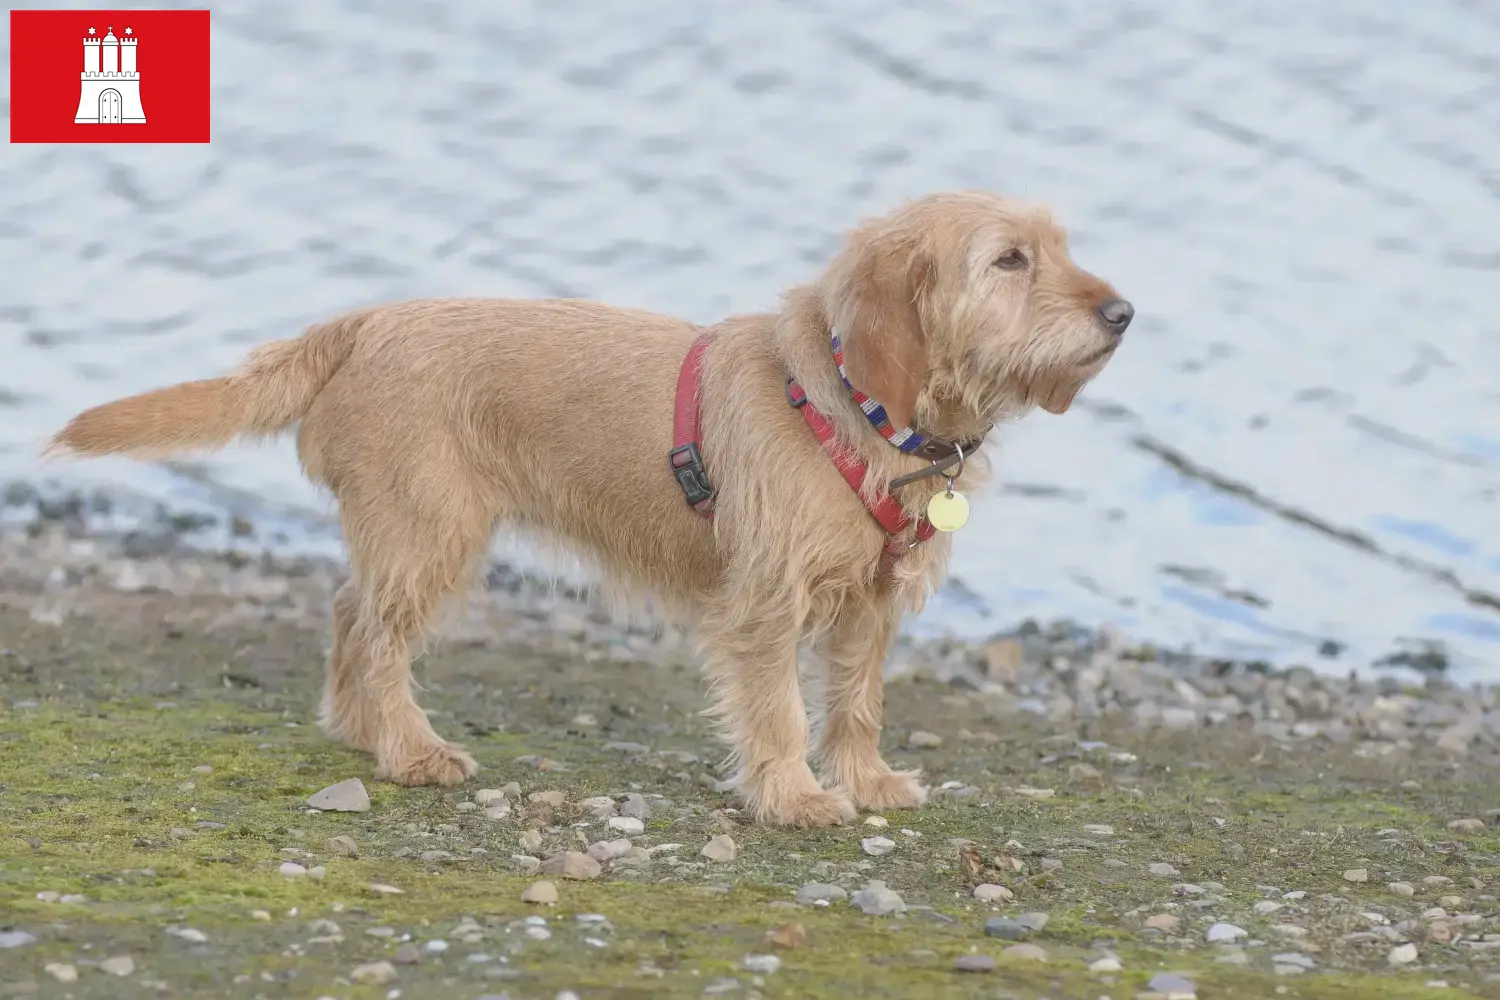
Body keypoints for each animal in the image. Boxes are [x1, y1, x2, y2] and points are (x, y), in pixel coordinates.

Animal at [46, 191, 1128, 827]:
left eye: (1061, 247)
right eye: (1010, 260)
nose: (1122, 313)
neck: (858, 409)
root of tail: (364, 322)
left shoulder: (868, 606)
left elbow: (856, 704)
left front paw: (863, 780)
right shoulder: (766, 604)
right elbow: (781, 707)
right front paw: (794, 794)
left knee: (350, 612)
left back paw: (361, 732)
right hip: (433, 534)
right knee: (377, 635)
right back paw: (409, 748)